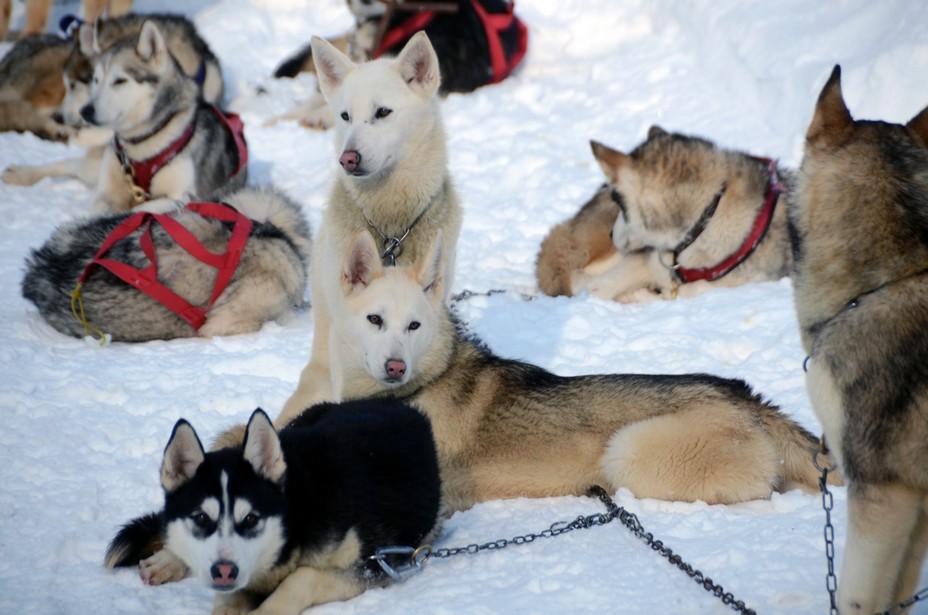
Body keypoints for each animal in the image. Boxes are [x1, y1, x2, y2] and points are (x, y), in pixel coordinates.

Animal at [80, 20, 245, 213]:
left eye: (120, 81)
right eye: (96, 80)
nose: (85, 111)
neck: (141, 144)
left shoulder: (179, 196)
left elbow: (138, 210)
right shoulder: (106, 191)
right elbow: (100, 206)